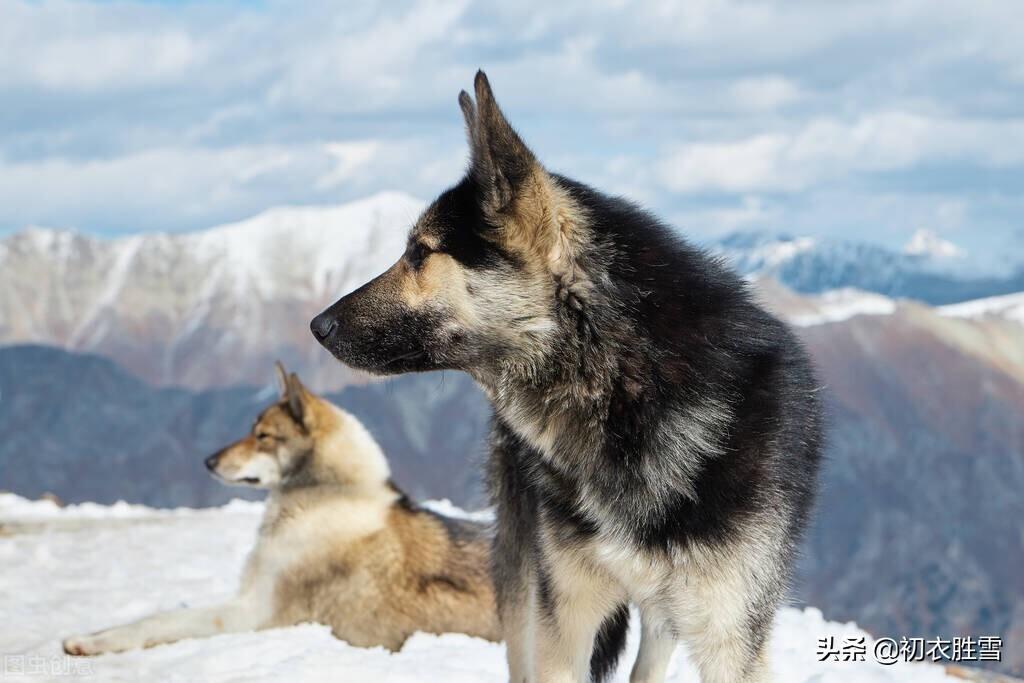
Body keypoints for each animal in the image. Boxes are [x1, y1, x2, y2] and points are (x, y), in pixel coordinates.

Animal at [59, 362, 499, 655]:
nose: (208, 462)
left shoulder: (252, 612)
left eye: (263, 436)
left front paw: (92, 643)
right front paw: (90, 634)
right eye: (252, 431)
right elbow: (156, 612)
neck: (326, 496)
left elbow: (162, 619)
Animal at [309, 70, 823, 683]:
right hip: (523, 574)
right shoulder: (565, 617)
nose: (317, 326)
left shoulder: (731, 637)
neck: (627, 388)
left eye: (419, 253)